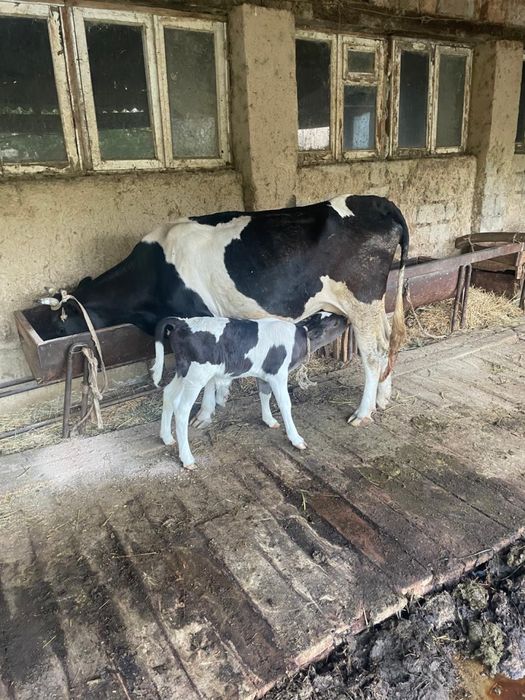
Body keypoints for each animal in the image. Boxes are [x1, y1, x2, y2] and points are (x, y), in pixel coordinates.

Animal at [41, 194, 409, 425]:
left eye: (57, 325)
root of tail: (378, 201)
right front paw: (221, 398)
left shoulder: (197, 318)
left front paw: (205, 413)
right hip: (374, 304)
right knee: (388, 339)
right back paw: (383, 397)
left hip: (361, 300)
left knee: (374, 352)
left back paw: (362, 412)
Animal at [151, 312, 348, 468]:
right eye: (334, 323)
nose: (346, 318)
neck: (296, 339)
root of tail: (182, 322)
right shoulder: (278, 374)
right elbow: (285, 404)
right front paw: (296, 439)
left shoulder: (265, 374)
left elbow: (264, 395)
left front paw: (269, 420)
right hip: (196, 375)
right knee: (182, 410)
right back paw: (187, 459)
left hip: (182, 371)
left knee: (168, 394)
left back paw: (166, 437)